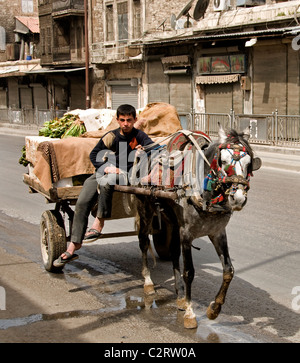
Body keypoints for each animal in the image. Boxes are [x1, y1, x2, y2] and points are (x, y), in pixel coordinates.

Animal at [135, 124, 262, 330]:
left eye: (249, 162)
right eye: (223, 161)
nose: (238, 198)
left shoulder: (217, 232)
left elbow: (229, 271)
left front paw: (214, 309)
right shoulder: (187, 234)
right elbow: (189, 272)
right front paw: (190, 313)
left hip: (172, 221)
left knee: (173, 252)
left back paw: (179, 296)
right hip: (145, 208)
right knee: (143, 242)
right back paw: (148, 282)